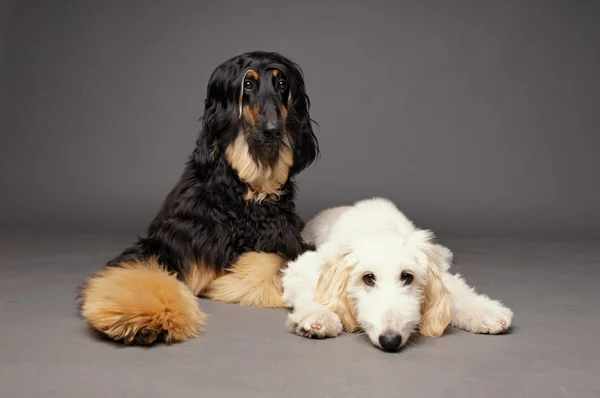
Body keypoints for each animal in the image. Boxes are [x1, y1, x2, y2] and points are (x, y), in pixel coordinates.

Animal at [280, 198, 510, 352]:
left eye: (407, 276)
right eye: (368, 278)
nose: (390, 340)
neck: (377, 228)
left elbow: (458, 292)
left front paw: (485, 312)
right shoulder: (304, 265)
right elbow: (312, 287)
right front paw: (319, 315)